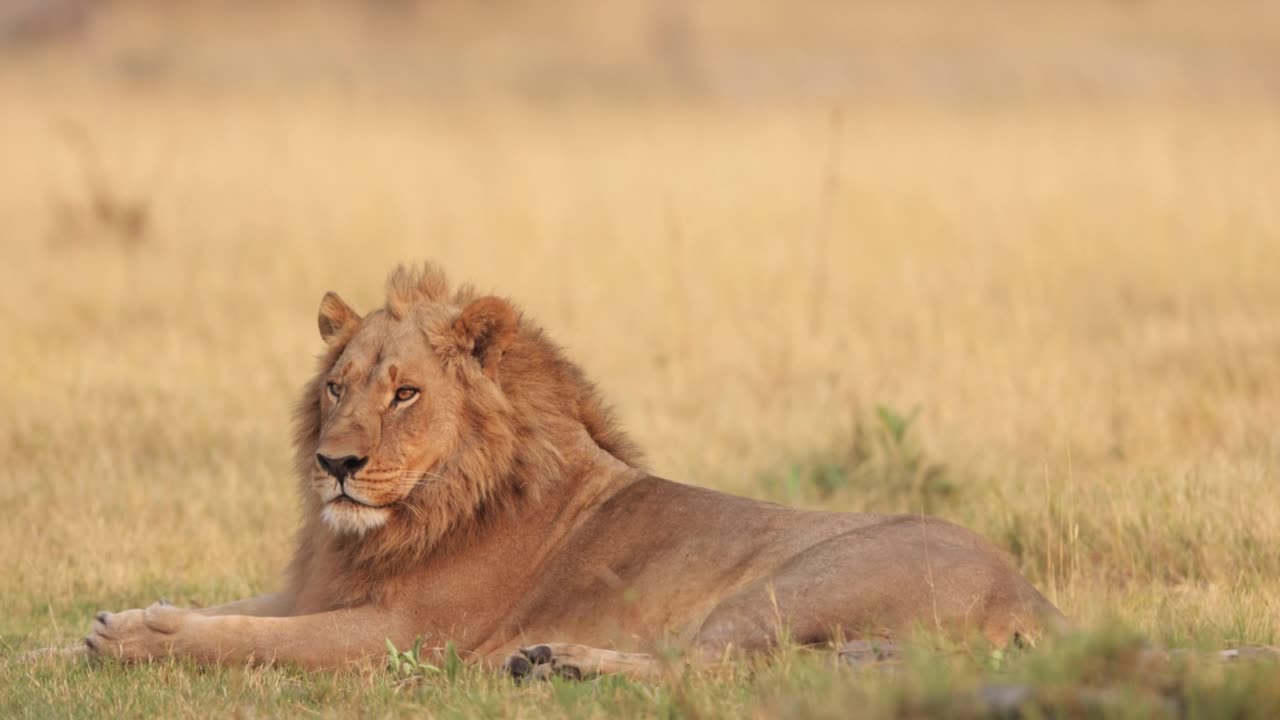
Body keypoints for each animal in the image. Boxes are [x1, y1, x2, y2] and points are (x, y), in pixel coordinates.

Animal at [85, 262, 1064, 671]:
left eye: (405, 395)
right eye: (336, 387)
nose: (335, 464)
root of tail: (1037, 602)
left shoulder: (403, 632)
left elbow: (250, 636)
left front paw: (139, 640)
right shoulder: (317, 589)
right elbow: (234, 608)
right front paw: (104, 624)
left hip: (788, 590)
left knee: (714, 673)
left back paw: (554, 663)